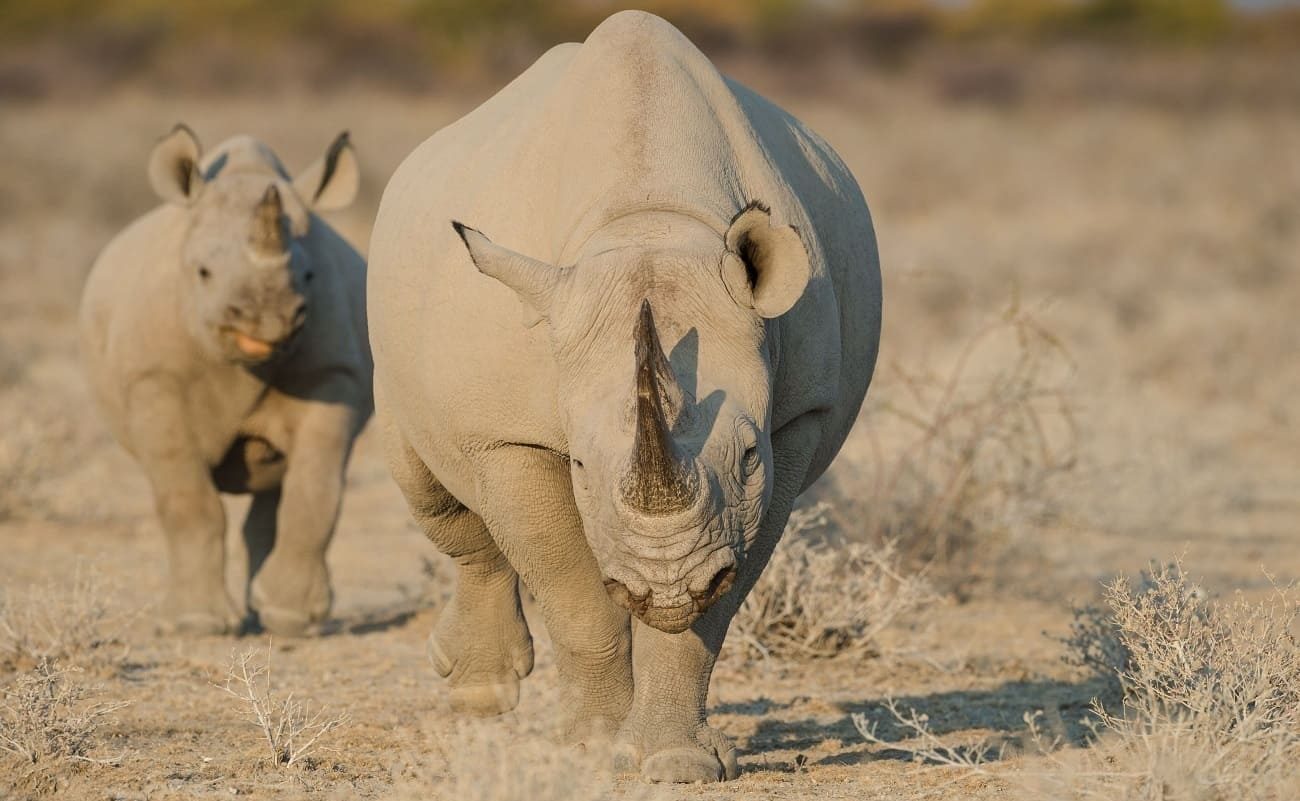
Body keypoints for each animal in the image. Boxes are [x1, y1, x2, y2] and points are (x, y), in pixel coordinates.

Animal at [79, 125, 372, 636]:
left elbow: (315, 489)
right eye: (203, 272)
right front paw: (196, 623)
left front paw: (293, 618)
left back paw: (271, 614)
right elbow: (188, 501)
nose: (268, 317)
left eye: (309, 275)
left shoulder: (334, 374)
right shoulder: (154, 380)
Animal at [368, 11, 880, 782]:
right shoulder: (511, 433)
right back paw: (480, 696)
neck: (649, 221)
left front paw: (676, 762)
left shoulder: (794, 422)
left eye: (749, 457)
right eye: (580, 465)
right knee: (431, 485)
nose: (663, 587)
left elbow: (715, 607)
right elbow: (574, 593)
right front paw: (587, 749)